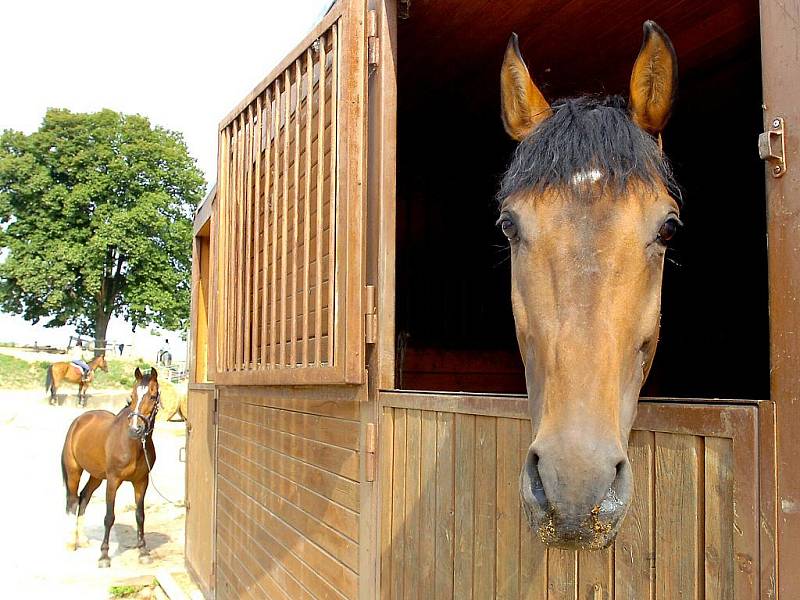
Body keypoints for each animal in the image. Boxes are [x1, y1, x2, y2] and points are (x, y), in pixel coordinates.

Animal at [61, 366, 161, 568]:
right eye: (132, 395)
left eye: (153, 396)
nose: (135, 429)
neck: (133, 445)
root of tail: (79, 420)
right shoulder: (113, 481)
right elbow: (109, 517)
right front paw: (104, 556)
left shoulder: (141, 482)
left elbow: (140, 515)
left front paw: (143, 552)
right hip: (74, 471)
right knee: (72, 500)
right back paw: (71, 542)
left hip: (96, 476)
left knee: (84, 498)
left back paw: (83, 540)